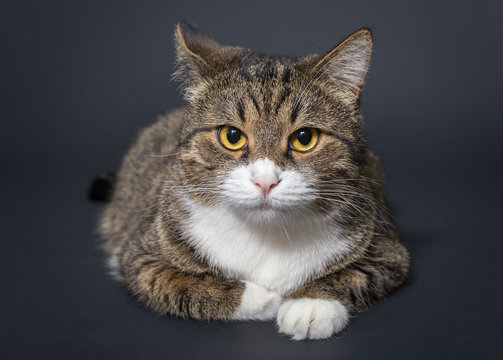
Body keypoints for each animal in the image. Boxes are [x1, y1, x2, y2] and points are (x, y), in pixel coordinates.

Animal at [97, 21, 410, 340]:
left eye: (305, 138)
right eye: (232, 136)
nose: (265, 181)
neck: (268, 236)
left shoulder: (390, 252)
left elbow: (354, 275)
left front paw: (310, 304)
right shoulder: (140, 258)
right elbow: (179, 284)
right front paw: (263, 299)